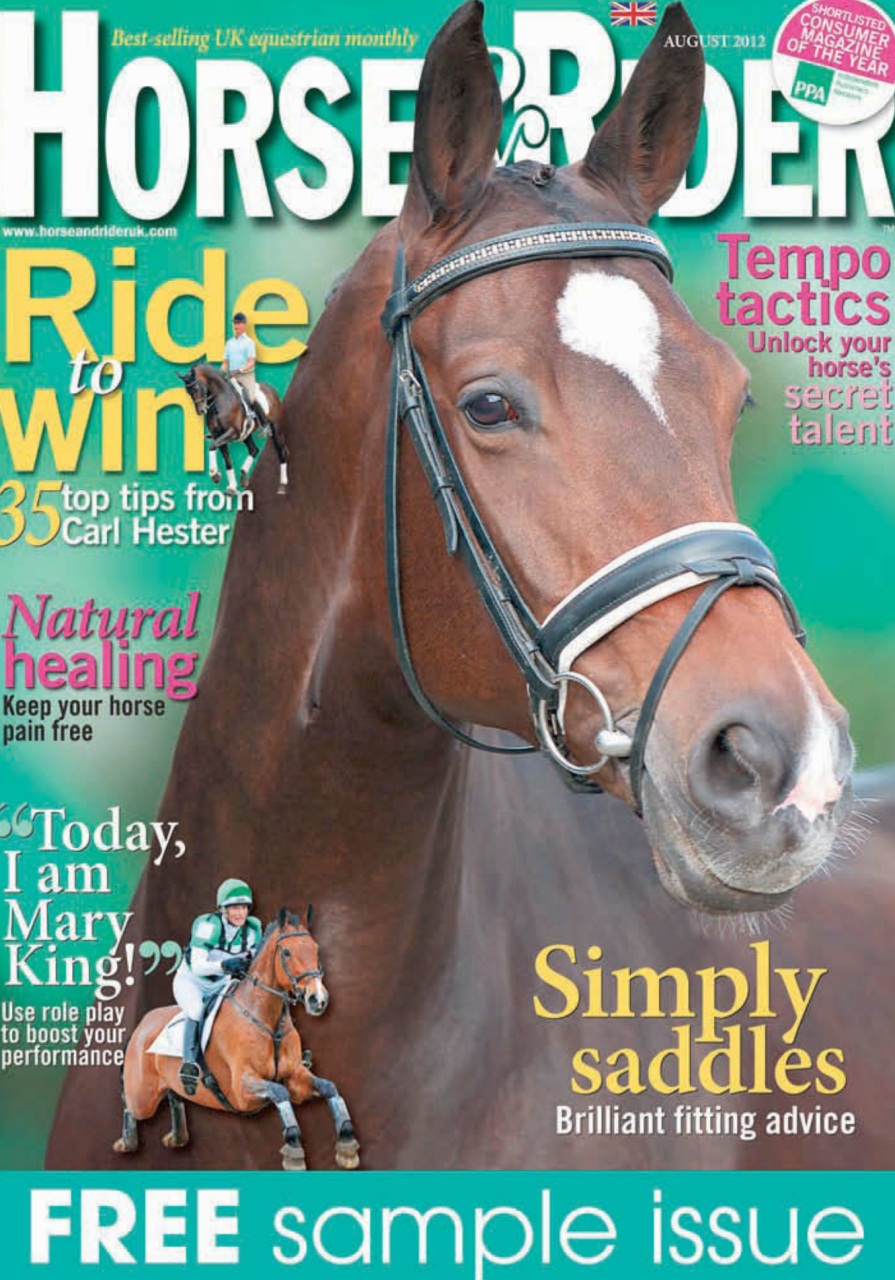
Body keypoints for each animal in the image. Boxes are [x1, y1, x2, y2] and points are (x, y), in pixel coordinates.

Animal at [111, 908, 359, 1170]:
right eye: (286, 952)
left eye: (315, 949)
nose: (317, 1000)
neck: (268, 1022)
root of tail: (141, 1025)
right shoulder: (242, 1090)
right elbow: (279, 1091)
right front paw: (293, 1150)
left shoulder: (296, 1076)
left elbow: (329, 1087)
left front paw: (347, 1144)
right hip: (143, 1097)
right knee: (131, 1106)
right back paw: (126, 1143)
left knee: (174, 1096)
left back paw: (177, 1138)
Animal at [179, 363, 290, 495]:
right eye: (188, 392)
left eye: (196, 388)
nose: (201, 411)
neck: (220, 401)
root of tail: (271, 389)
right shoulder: (219, 435)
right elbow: (227, 461)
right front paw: (231, 487)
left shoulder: (233, 432)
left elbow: (212, 446)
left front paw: (214, 474)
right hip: (246, 434)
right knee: (254, 450)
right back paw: (243, 477)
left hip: (277, 429)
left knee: (281, 452)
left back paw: (282, 486)